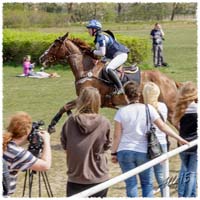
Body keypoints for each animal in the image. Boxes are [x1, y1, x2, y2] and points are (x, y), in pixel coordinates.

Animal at [39, 32, 180, 133]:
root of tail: (170, 80)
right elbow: (66, 107)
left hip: (170, 107)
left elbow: (65, 106)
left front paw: (51, 126)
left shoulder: (85, 97)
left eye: (54, 45)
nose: (41, 58)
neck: (86, 70)